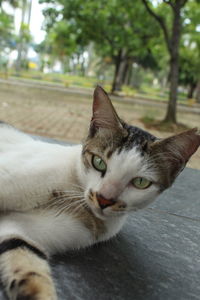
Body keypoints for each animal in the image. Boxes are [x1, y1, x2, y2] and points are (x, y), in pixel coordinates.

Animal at [0, 85, 199, 298]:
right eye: (99, 162)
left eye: (141, 182)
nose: (104, 199)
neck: (74, 190)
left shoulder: (21, 228)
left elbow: (26, 261)